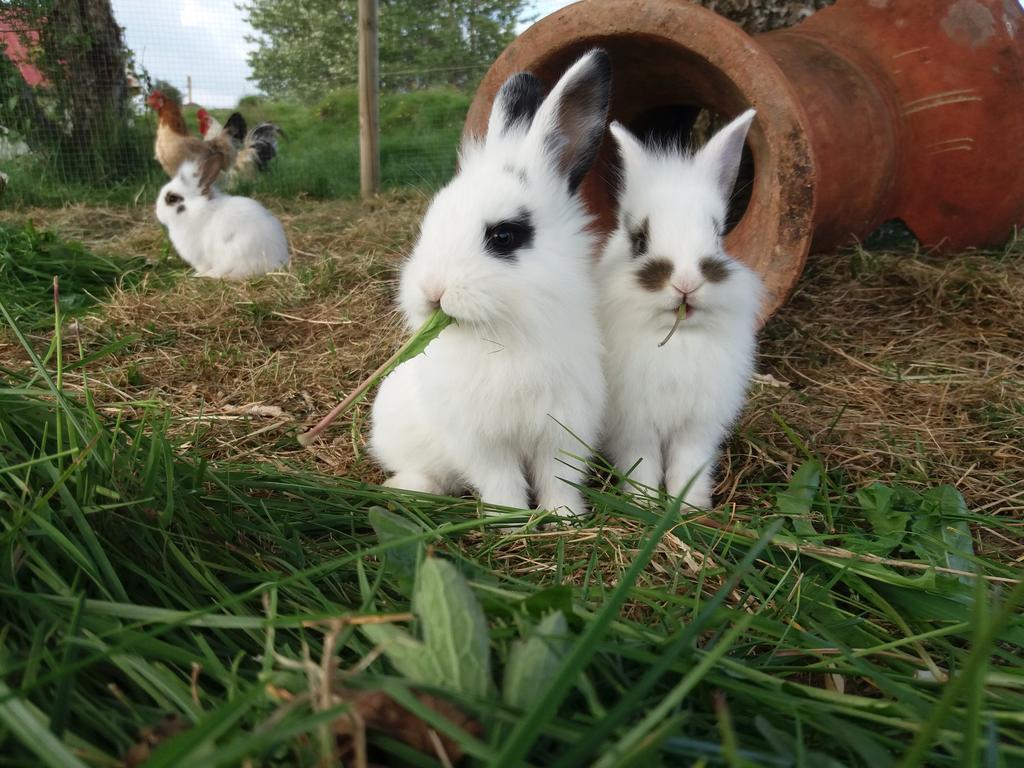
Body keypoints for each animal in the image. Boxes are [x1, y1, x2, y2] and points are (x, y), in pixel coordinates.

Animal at [153, 148, 288, 280]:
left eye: (172, 198)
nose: (158, 213)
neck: (196, 211)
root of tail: (275, 260)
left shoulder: (200, 258)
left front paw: (198, 273)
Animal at [368, 49, 610, 524]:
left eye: (504, 236)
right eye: (429, 222)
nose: (432, 291)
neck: (506, 335)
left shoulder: (564, 429)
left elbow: (559, 477)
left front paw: (564, 518)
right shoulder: (480, 440)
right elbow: (500, 479)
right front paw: (510, 520)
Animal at [598, 107, 761, 505]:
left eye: (717, 236)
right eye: (640, 240)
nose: (686, 283)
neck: (678, 338)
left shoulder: (697, 429)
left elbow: (689, 468)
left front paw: (688, 507)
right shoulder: (635, 426)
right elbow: (642, 465)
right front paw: (642, 503)